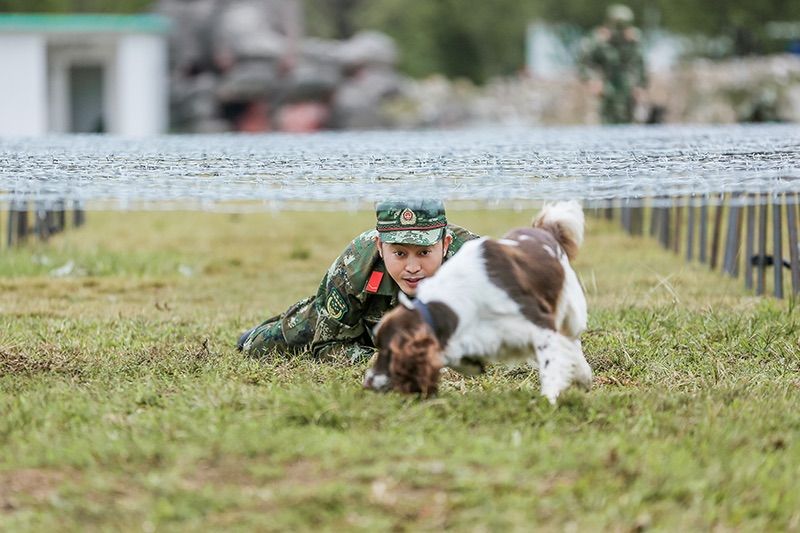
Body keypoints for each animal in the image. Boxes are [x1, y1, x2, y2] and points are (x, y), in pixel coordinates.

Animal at [366, 201, 592, 404]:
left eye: (390, 351)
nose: (367, 383)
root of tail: (544, 230)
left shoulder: (540, 324)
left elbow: (552, 365)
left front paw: (548, 400)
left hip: (572, 312)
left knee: (572, 340)